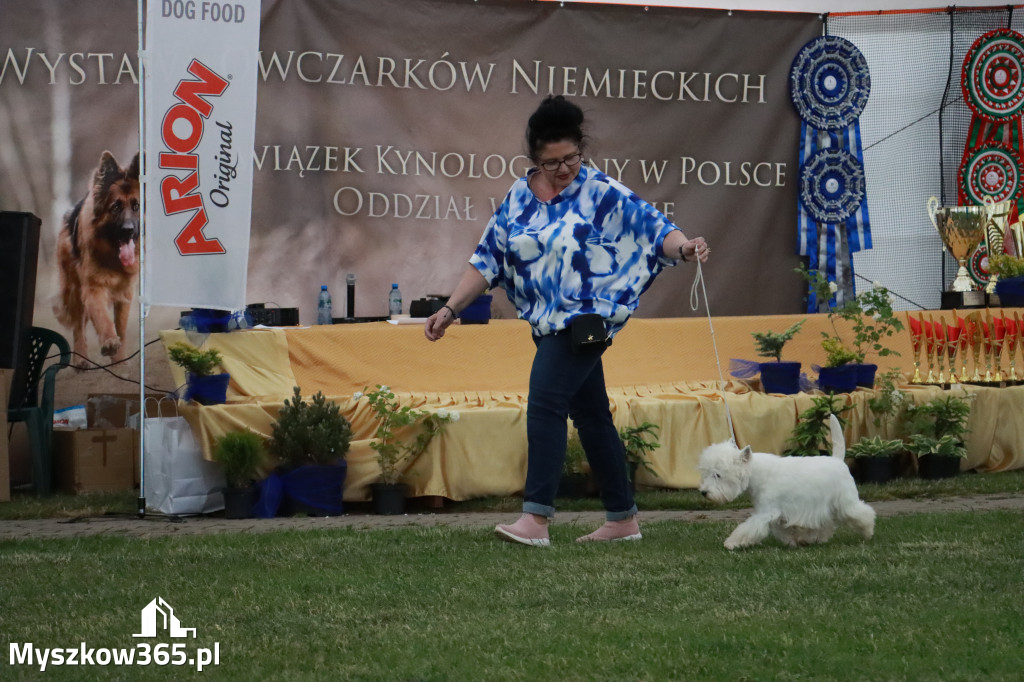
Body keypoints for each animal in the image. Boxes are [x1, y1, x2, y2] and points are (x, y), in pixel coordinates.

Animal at [700, 413, 876, 548]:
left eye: (717, 475)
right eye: (706, 473)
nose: (703, 492)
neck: (756, 474)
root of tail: (838, 460)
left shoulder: (766, 511)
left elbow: (749, 528)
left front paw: (731, 543)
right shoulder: (779, 513)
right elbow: (783, 530)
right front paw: (793, 541)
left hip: (846, 500)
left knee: (861, 512)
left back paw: (868, 532)